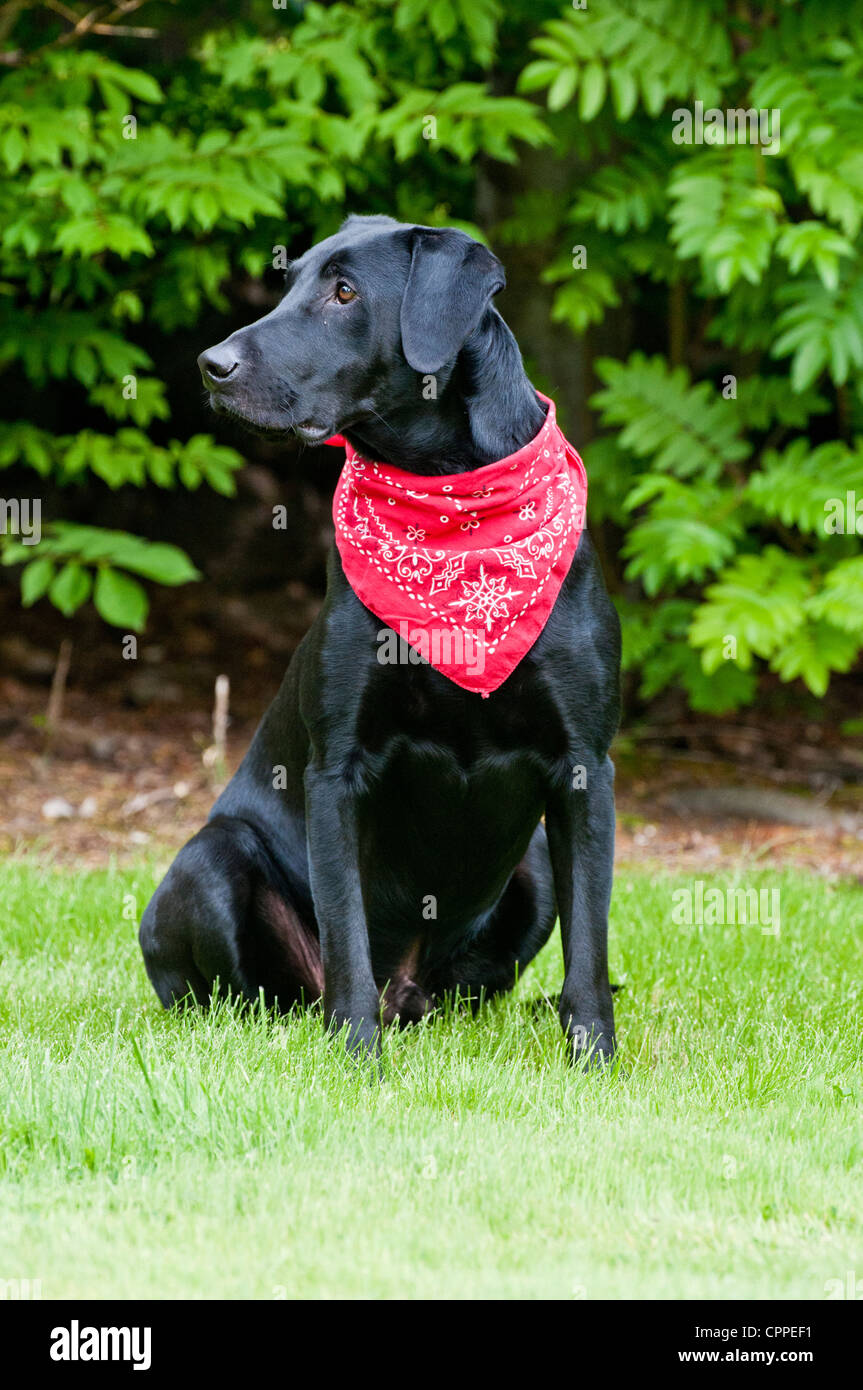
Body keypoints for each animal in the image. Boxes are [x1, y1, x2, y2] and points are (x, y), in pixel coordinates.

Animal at [138, 214, 617, 1061]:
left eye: (344, 292)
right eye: (290, 279)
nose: (211, 365)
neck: (447, 503)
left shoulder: (584, 767)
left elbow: (587, 947)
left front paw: (593, 1058)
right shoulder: (337, 770)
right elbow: (346, 936)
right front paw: (356, 1055)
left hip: (528, 868)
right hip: (209, 860)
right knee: (242, 991)